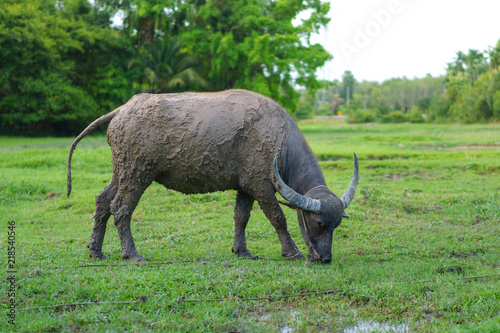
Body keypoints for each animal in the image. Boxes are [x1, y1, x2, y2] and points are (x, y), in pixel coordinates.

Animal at [66, 89, 358, 264]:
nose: (325, 258)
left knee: (103, 201)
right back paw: (132, 254)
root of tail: (122, 110)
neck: (280, 139)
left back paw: (96, 251)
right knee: (121, 207)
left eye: (337, 225)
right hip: (137, 173)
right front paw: (293, 251)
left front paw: (242, 251)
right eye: (319, 223)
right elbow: (278, 217)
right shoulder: (261, 184)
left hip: (122, 170)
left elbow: (241, 217)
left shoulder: (245, 186)